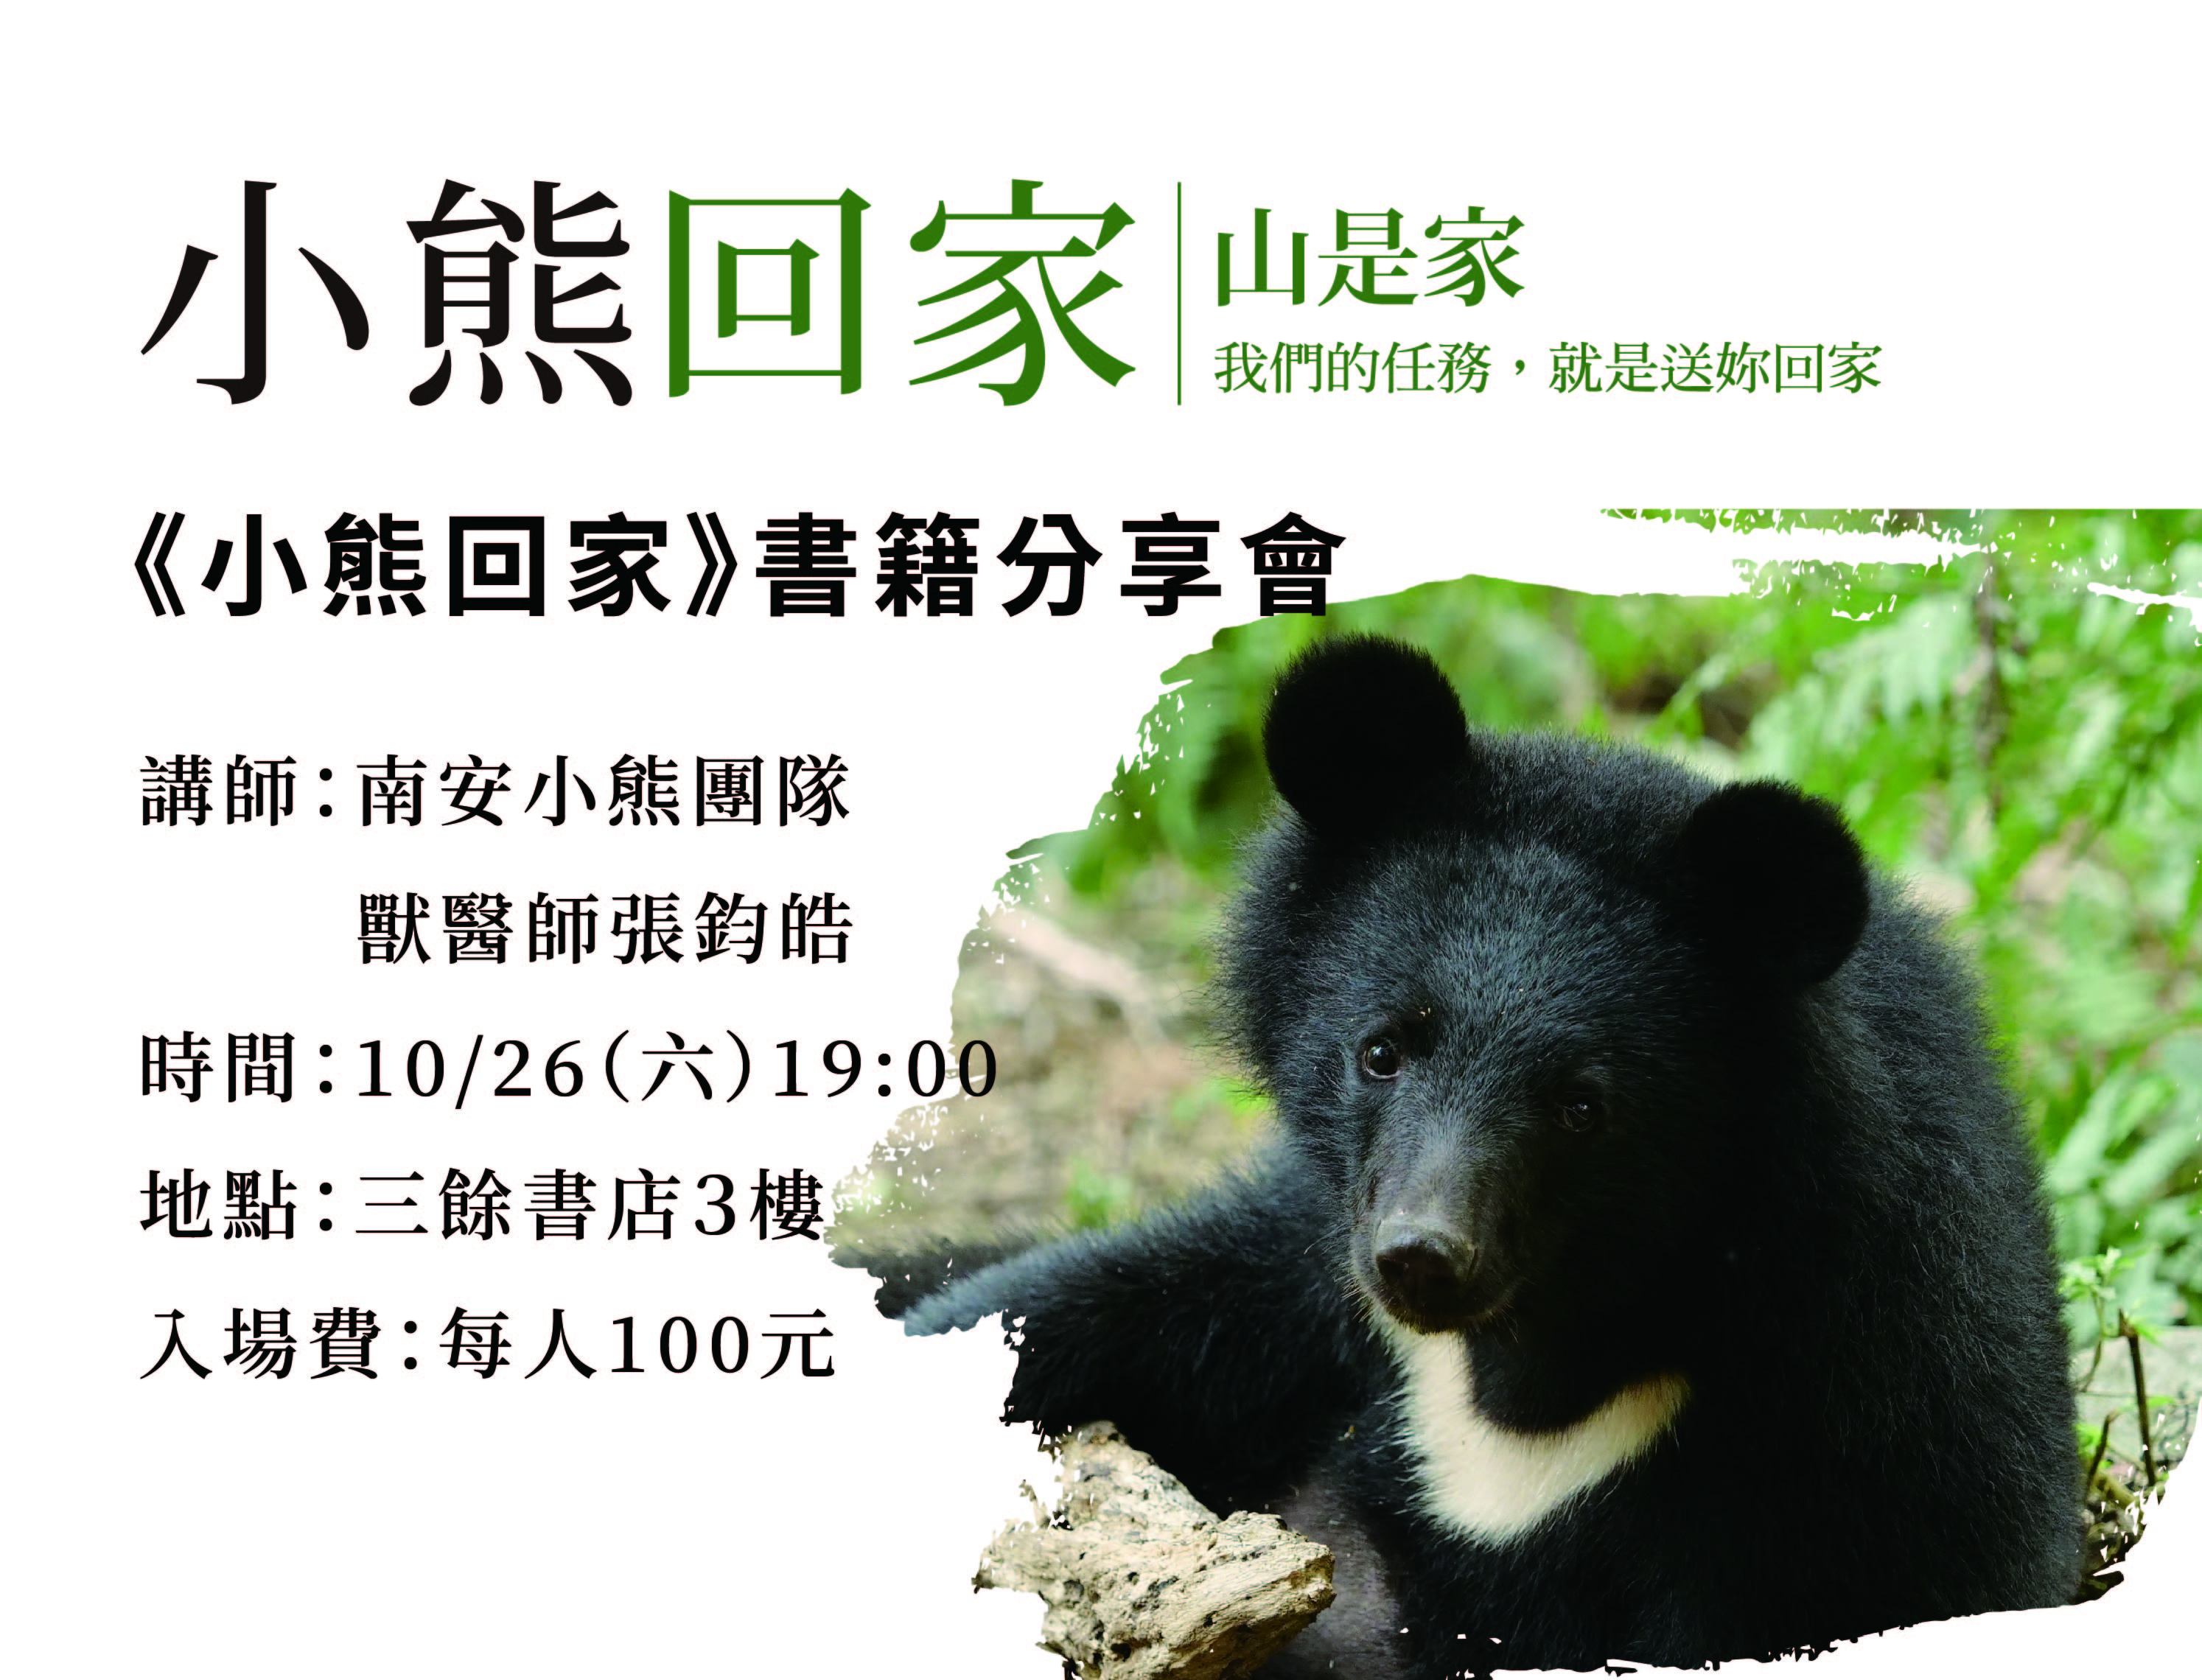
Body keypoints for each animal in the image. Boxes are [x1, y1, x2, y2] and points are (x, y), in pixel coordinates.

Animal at [899, 635, 2079, 1675]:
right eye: (1381, 1050)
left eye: (1582, 1109)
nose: (1421, 1258)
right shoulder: (1305, 1255)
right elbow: (1073, 1305)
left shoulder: (1850, 1434)